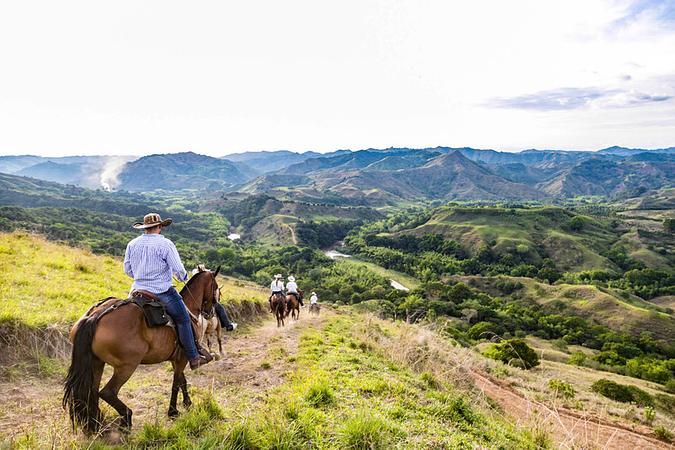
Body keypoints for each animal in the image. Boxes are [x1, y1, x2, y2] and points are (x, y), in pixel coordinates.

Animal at [61, 268, 220, 432]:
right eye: (216, 287)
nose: (210, 312)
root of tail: (95, 316)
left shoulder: (175, 359)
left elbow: (182, 380)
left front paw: (187, 403)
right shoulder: (183, 358)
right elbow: (176, 383)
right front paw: (173, 411)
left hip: (96, 363)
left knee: (92, 391)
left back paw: (97, 422)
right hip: (127, 366)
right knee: (107, 392)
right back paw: (126, 419)